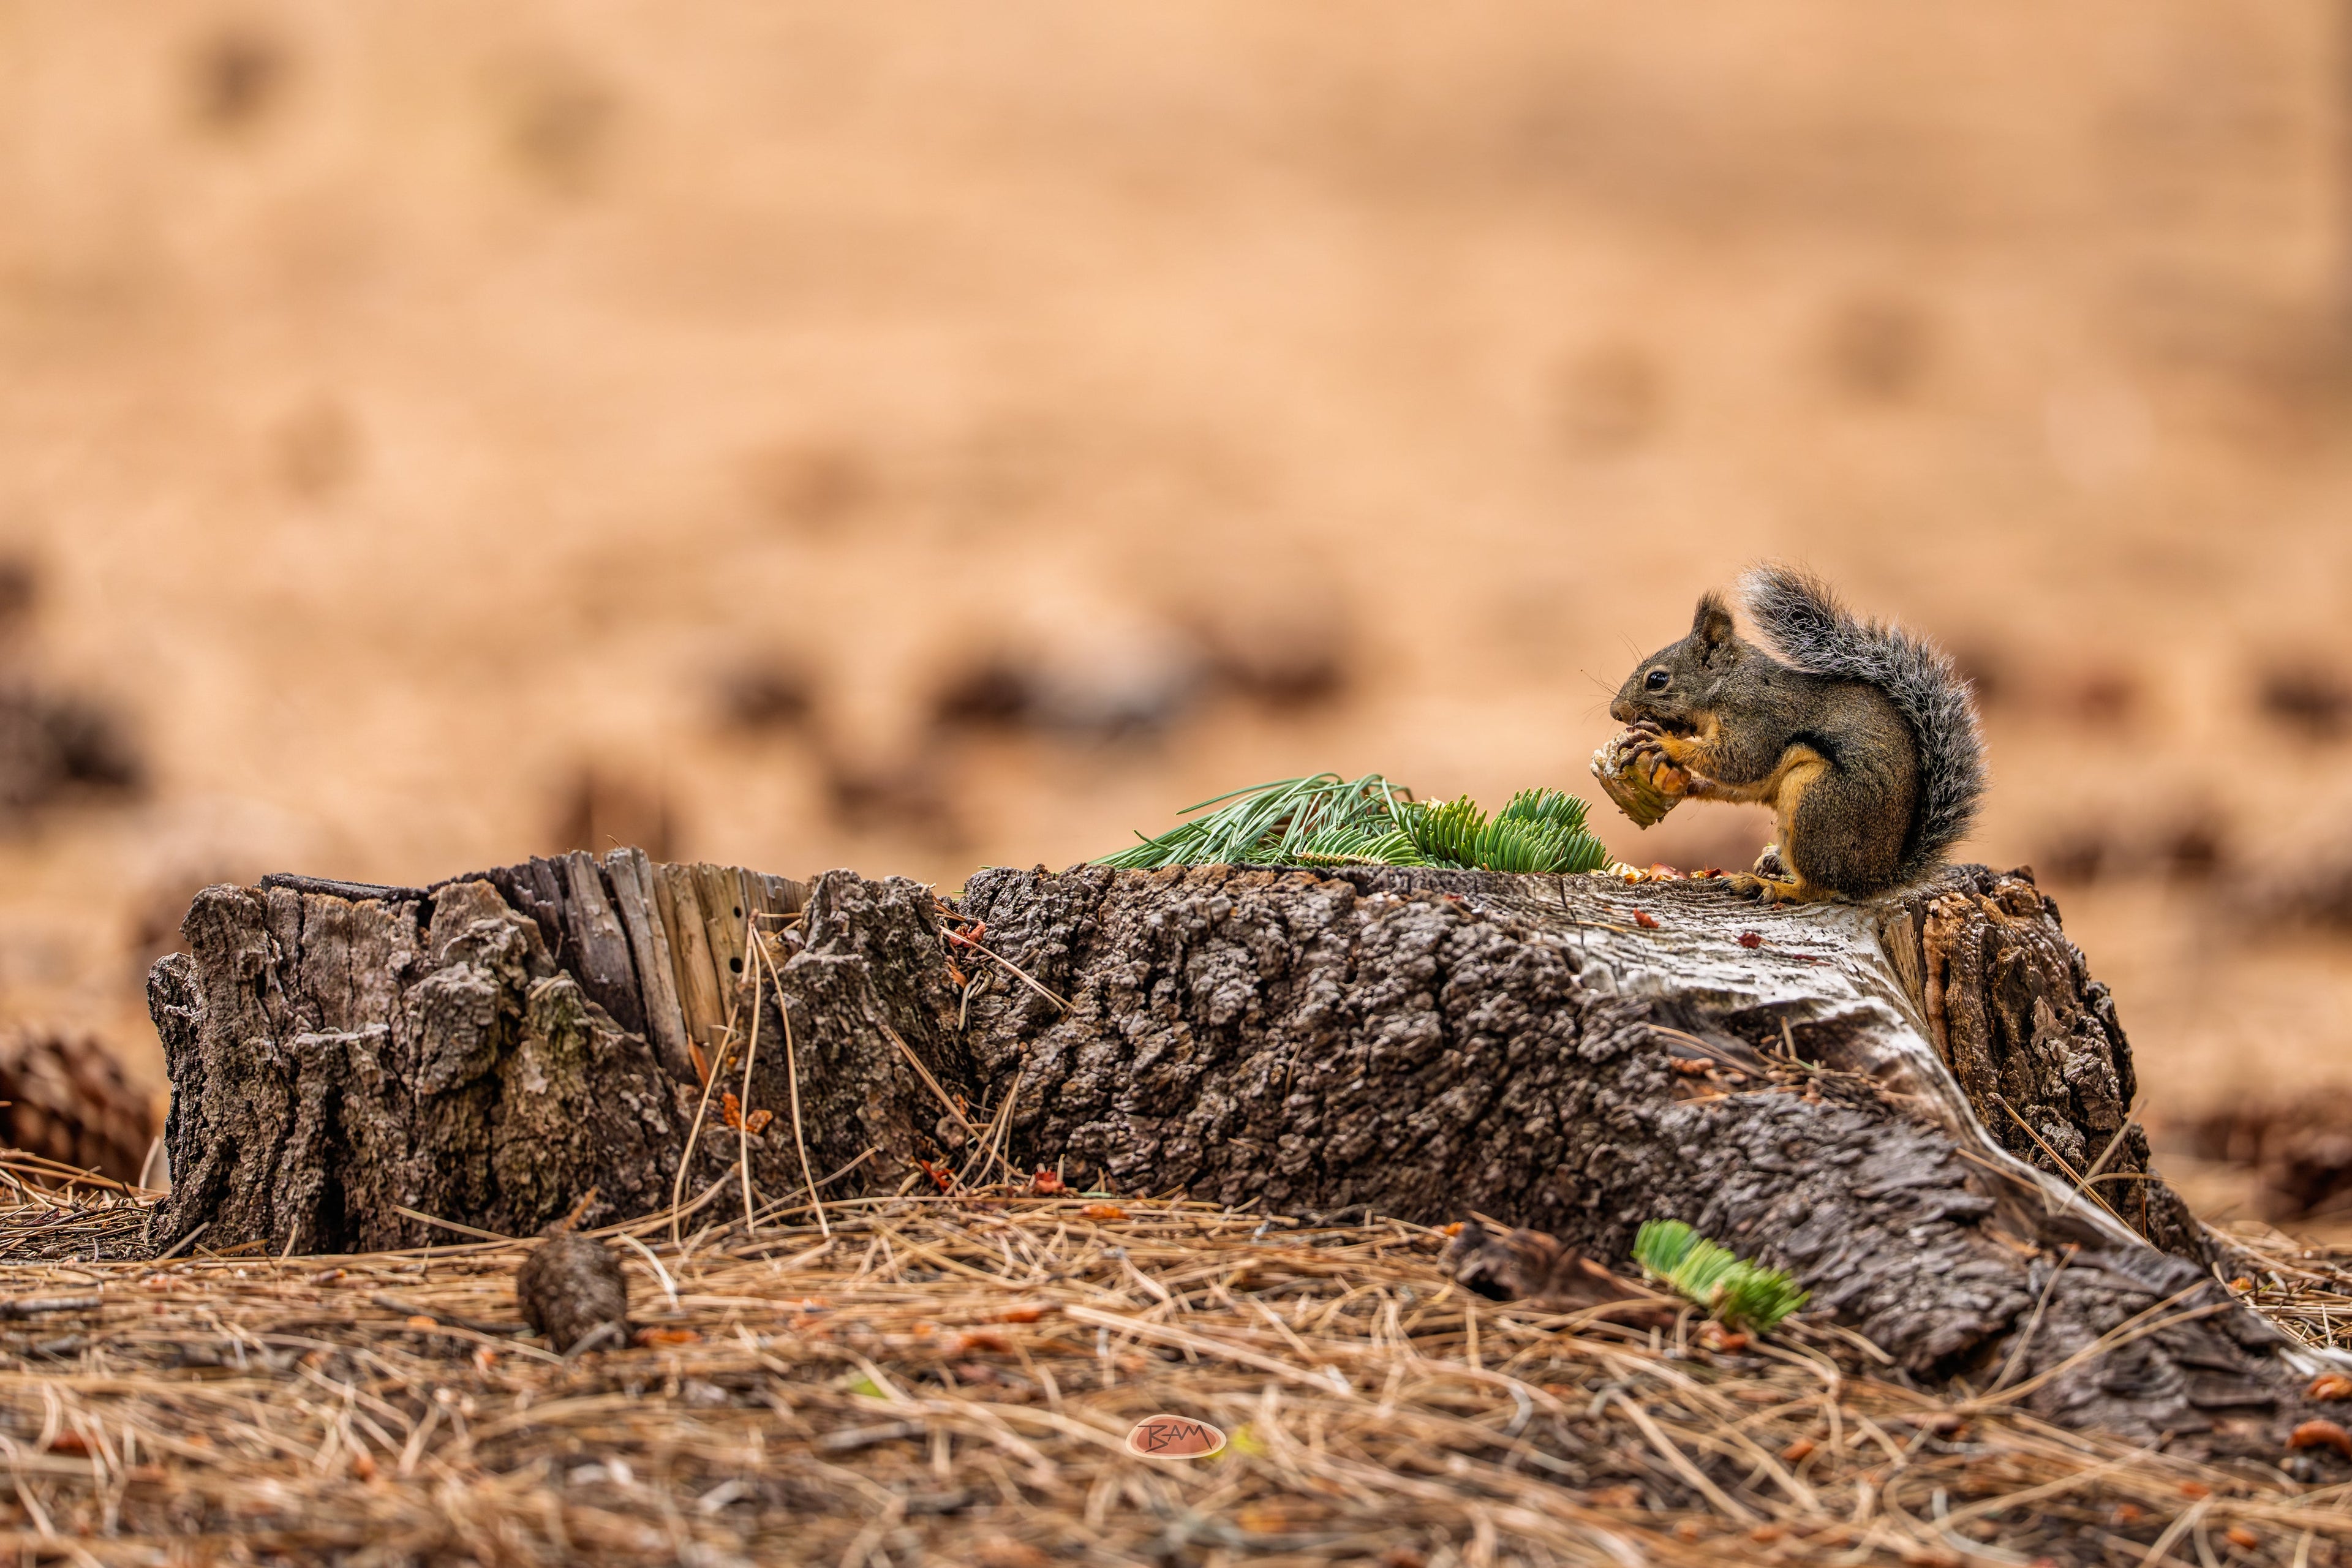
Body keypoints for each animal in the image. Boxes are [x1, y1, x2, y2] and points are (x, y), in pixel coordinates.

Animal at [1606, 564, 1985, 903]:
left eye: (1657, 680)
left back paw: (1767, 886)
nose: (1616, 712)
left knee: (1818, 890)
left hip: (1815, 802)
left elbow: (1737, 762)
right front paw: (1682, 783)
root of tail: (1877, 877)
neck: (1727, 684)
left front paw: (1663, 743)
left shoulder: (1757, 719)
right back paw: (1773, 862)